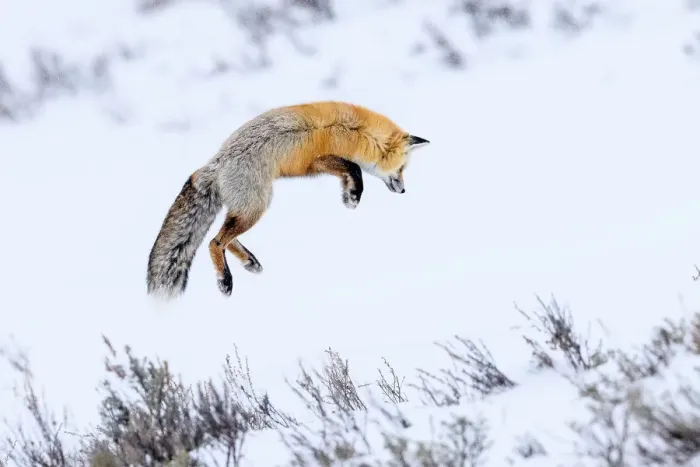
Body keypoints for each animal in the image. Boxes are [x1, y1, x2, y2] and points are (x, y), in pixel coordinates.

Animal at [146, 100, 430, 300]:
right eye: (402, 169)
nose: (403, 191)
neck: (355, 131)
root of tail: (214, 165)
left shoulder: (323, 163)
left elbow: (352, 171)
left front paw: (349, 195)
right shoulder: (318, 160)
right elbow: (355, 169)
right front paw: (352, 197)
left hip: (249, 207)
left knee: (225, 238)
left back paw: (250, 262)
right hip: (256, 206)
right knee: (215, 242)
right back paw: (225, 280)